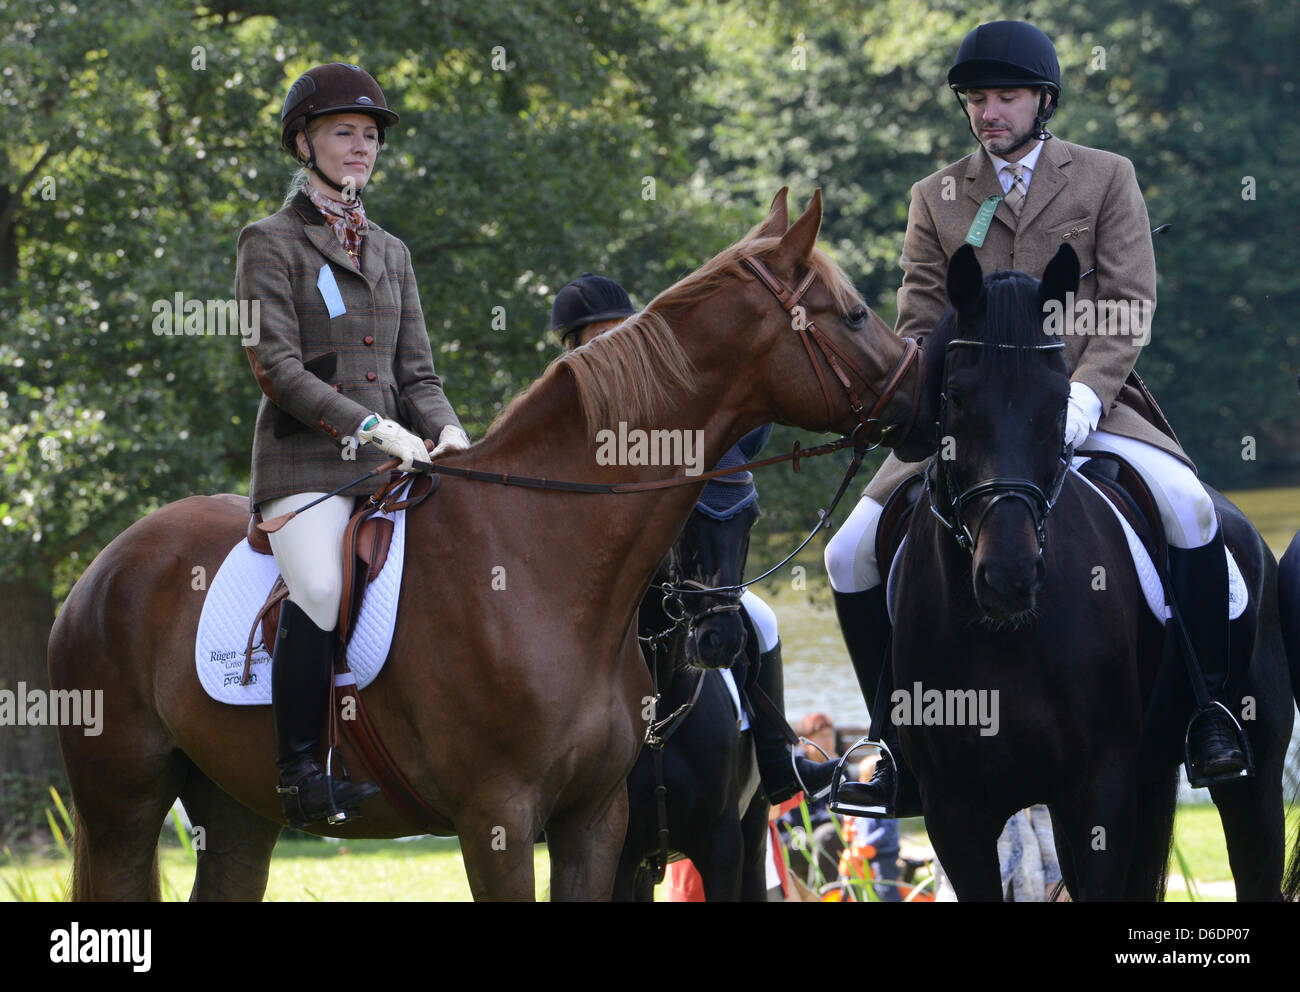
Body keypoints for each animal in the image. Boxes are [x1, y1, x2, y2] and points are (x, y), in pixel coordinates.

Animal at [883, 247, 1289, 899]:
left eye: (1058, 401)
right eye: (957, 394)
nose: (1009, 575)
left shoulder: (1099, 791)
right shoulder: (954, 813)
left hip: (1252, 777)